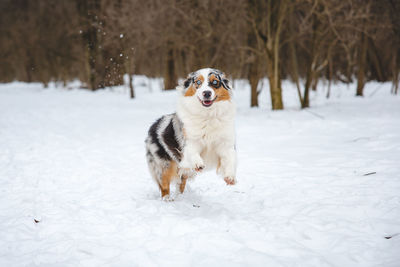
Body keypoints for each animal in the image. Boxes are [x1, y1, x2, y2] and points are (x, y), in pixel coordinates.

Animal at [145, 68, 236, 200]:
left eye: (215, 82)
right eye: (198, 82)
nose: (206, 93)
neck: (208, 115)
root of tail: (154, 125)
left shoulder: (225, 143)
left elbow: (230, 159)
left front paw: (230, 177)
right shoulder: (189, 142)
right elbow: (193, 152)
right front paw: (198, 163)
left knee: (181, 183)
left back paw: (180, 197)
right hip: (164, 164)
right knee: (164, 184)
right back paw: (167, 199)